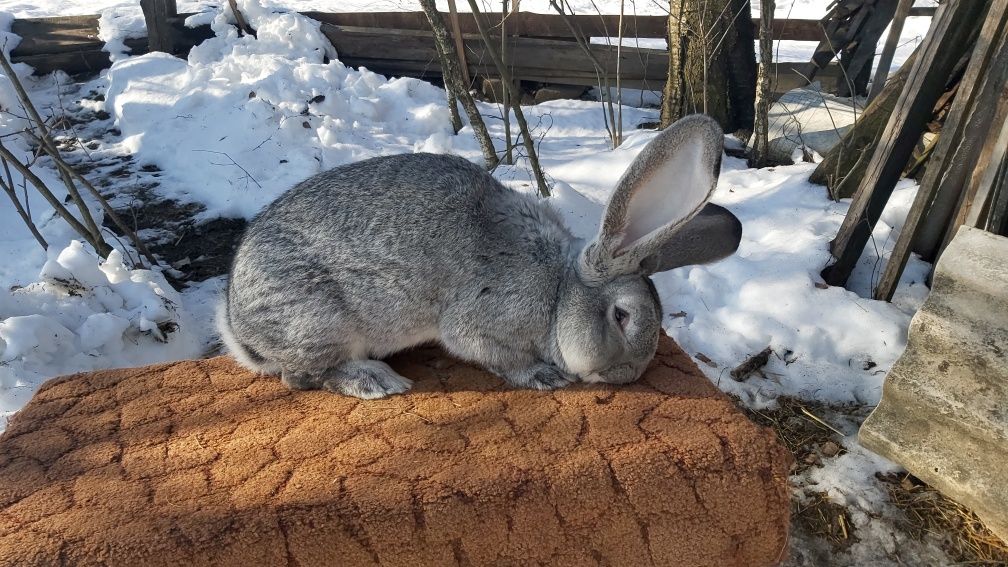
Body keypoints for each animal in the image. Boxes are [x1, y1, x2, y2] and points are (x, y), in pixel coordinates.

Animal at [218, 113, 741, 397]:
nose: (625, 376)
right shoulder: (481, 323)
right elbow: (493, 354)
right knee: (301, 376)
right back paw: (376, 381)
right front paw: (544, 376)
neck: (557, 289)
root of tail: (239, 326)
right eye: (622, 316)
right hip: (319, 322)